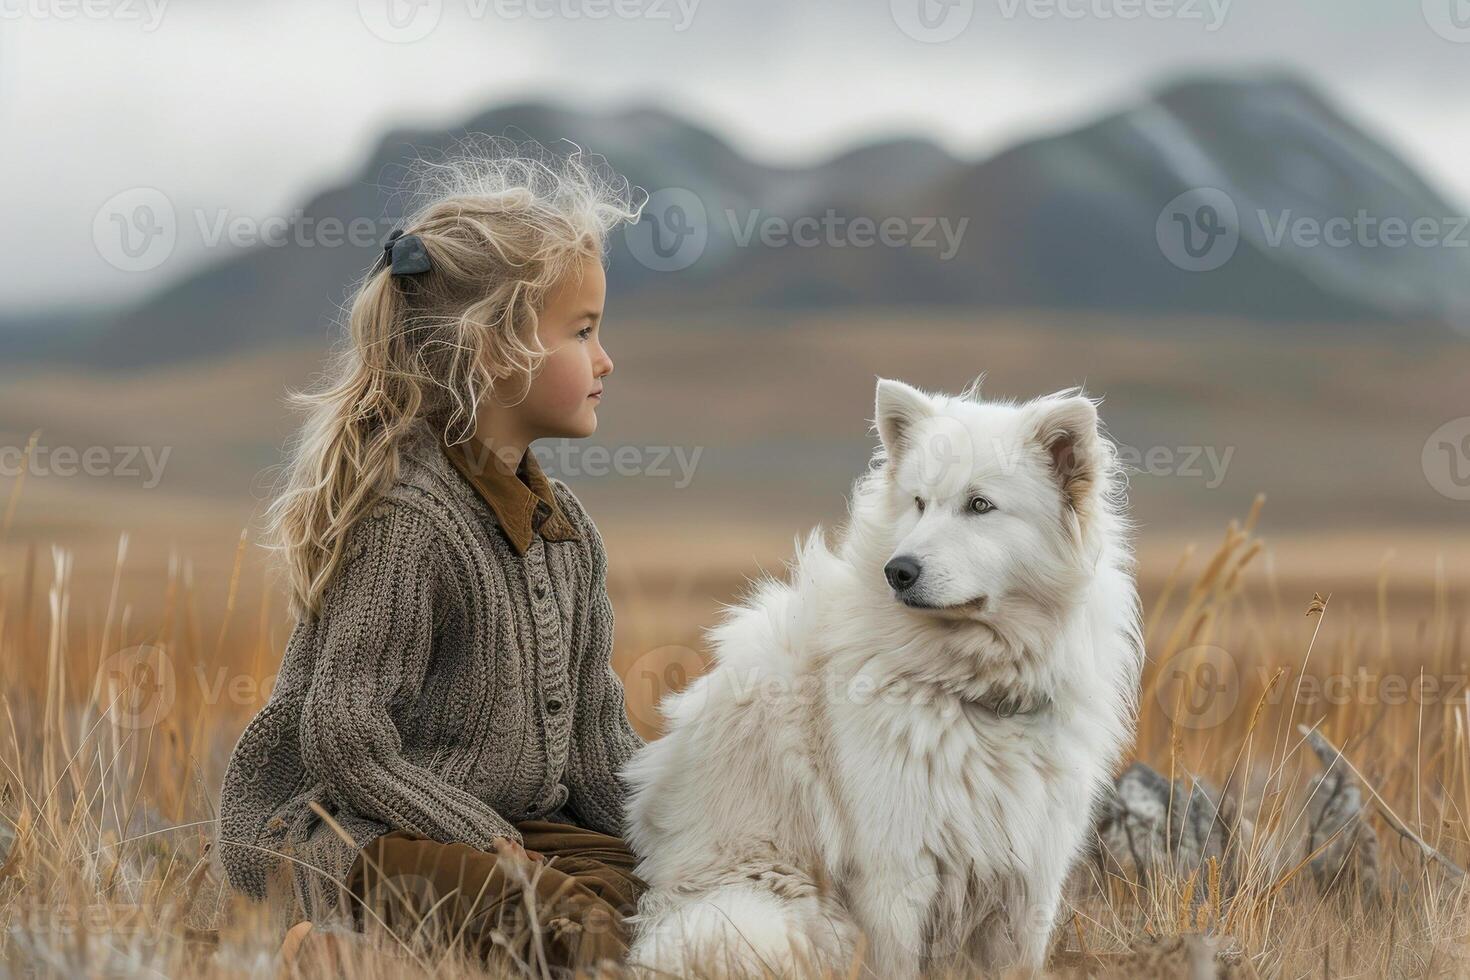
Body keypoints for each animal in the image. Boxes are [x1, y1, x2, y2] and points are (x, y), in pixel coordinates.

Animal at [620, 379, 1146, 975]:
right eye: (918, 502)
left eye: (979, 505)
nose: (898, 571)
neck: (970, 691)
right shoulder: (896, 876)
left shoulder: (1031, 878)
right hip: (764, 918)